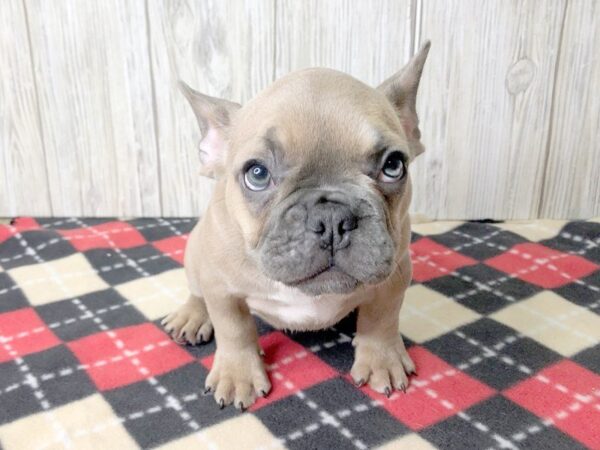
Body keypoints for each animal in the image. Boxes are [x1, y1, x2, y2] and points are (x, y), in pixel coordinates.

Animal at [162, 40, 428, 410]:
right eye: (257, 174)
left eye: (393, 166)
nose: (332, 218)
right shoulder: (220, 287)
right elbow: (234, 328)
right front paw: (238, 374)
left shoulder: (395, 275)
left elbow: (382, 318)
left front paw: (382, 360)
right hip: (195, 253)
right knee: (196, 291)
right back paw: (192, 314)